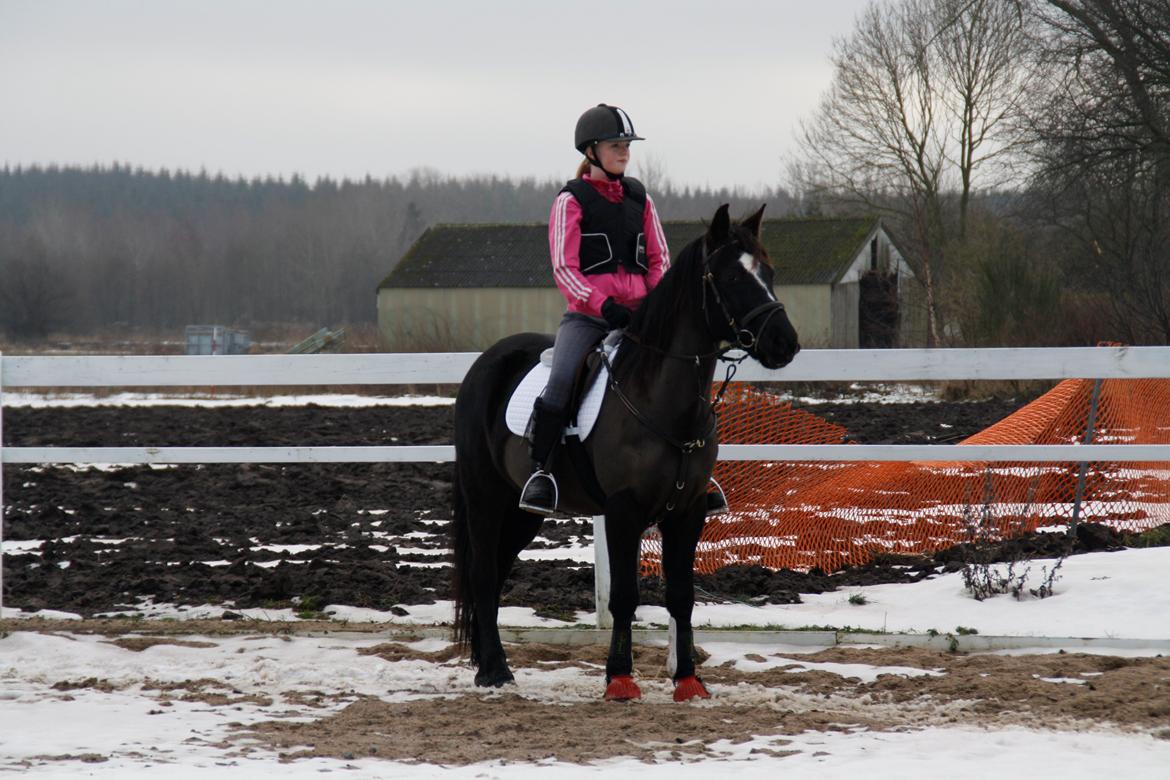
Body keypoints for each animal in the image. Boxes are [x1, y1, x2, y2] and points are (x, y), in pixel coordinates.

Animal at [450, 203, 800, 701]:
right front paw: (619, 678)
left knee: (496, 574)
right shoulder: (623, 510)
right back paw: (494, 671)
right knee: (482, 573)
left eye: (768, 272)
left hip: (521, 512)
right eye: (732, 277)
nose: (784, 343)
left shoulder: (687, 512)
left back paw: (488, 663)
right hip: (485, 497)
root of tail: (484, 363)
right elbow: (624, 596)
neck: (661, 400)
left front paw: (687, 679)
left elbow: (681, 595)